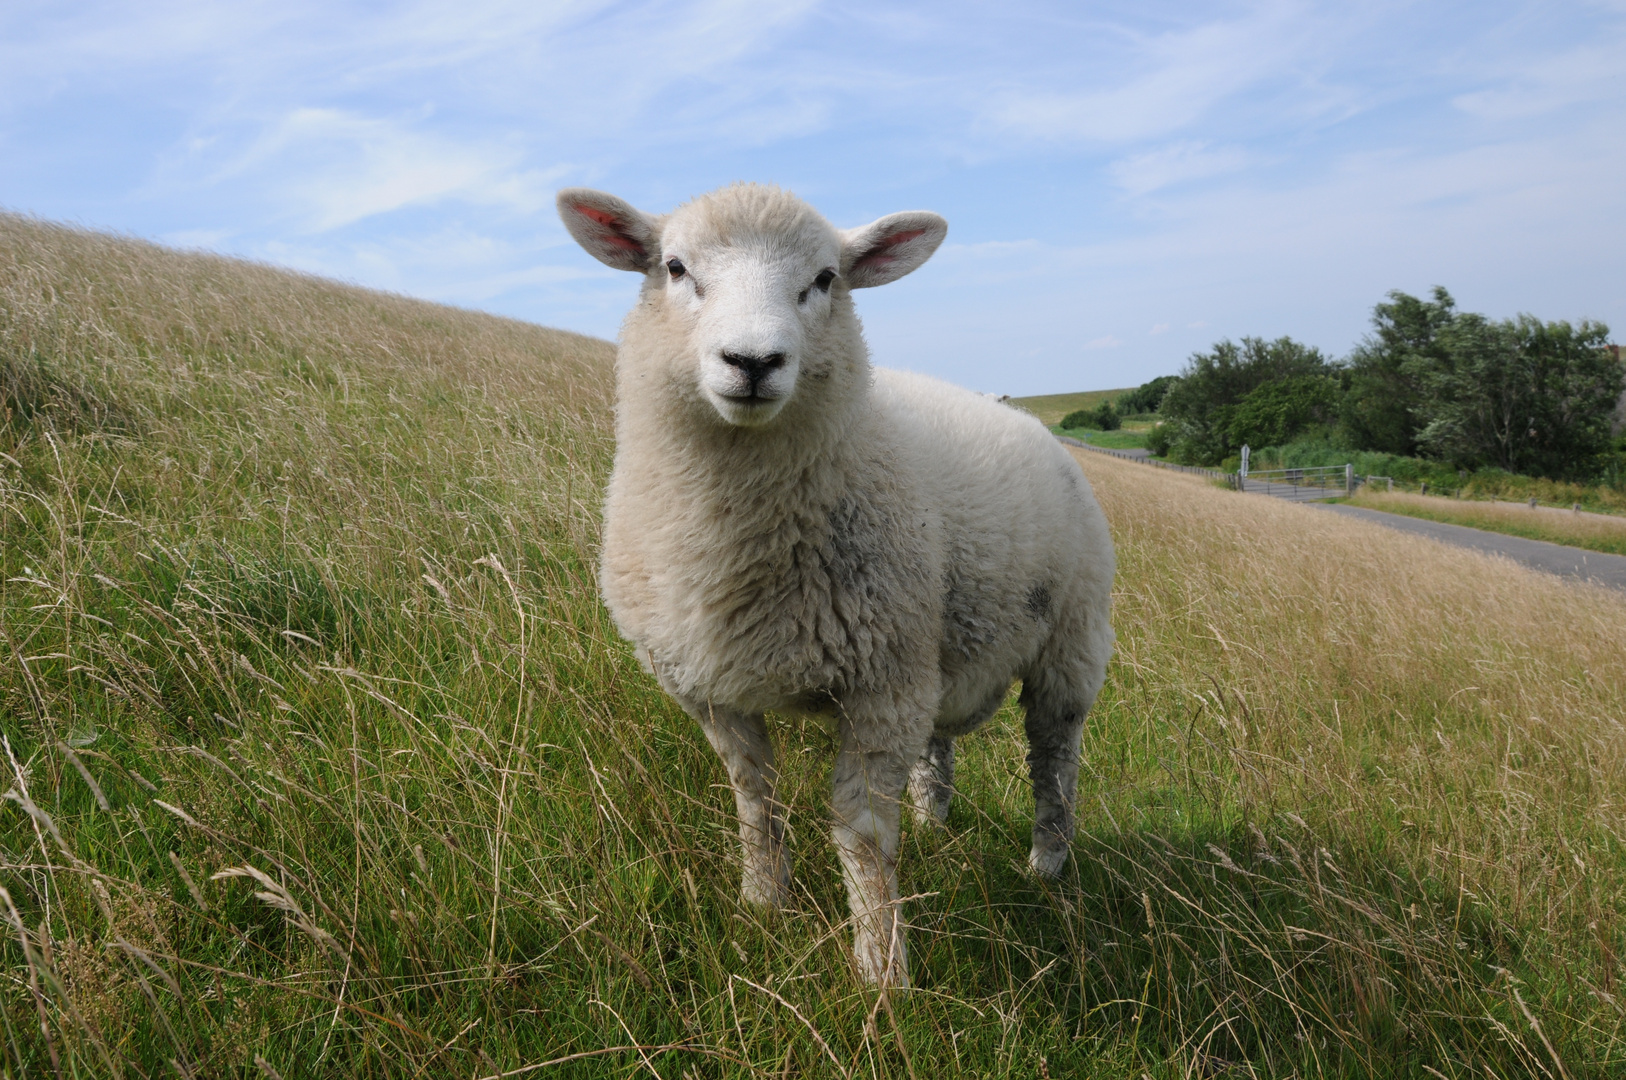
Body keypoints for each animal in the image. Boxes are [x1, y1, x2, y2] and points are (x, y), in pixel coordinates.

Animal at [562, 183, 1118, 988]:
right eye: (674, 267)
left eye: (825, 278)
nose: (753, 360)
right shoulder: (714, 691)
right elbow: (754, 797)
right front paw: (764, 901)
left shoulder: (879, 691)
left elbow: (861, 835)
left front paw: (883, 972)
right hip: (932, 641)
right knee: (939, 747)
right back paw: (934, 820)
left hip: (1068, 644)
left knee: (1053, 759)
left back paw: (1047, 863)